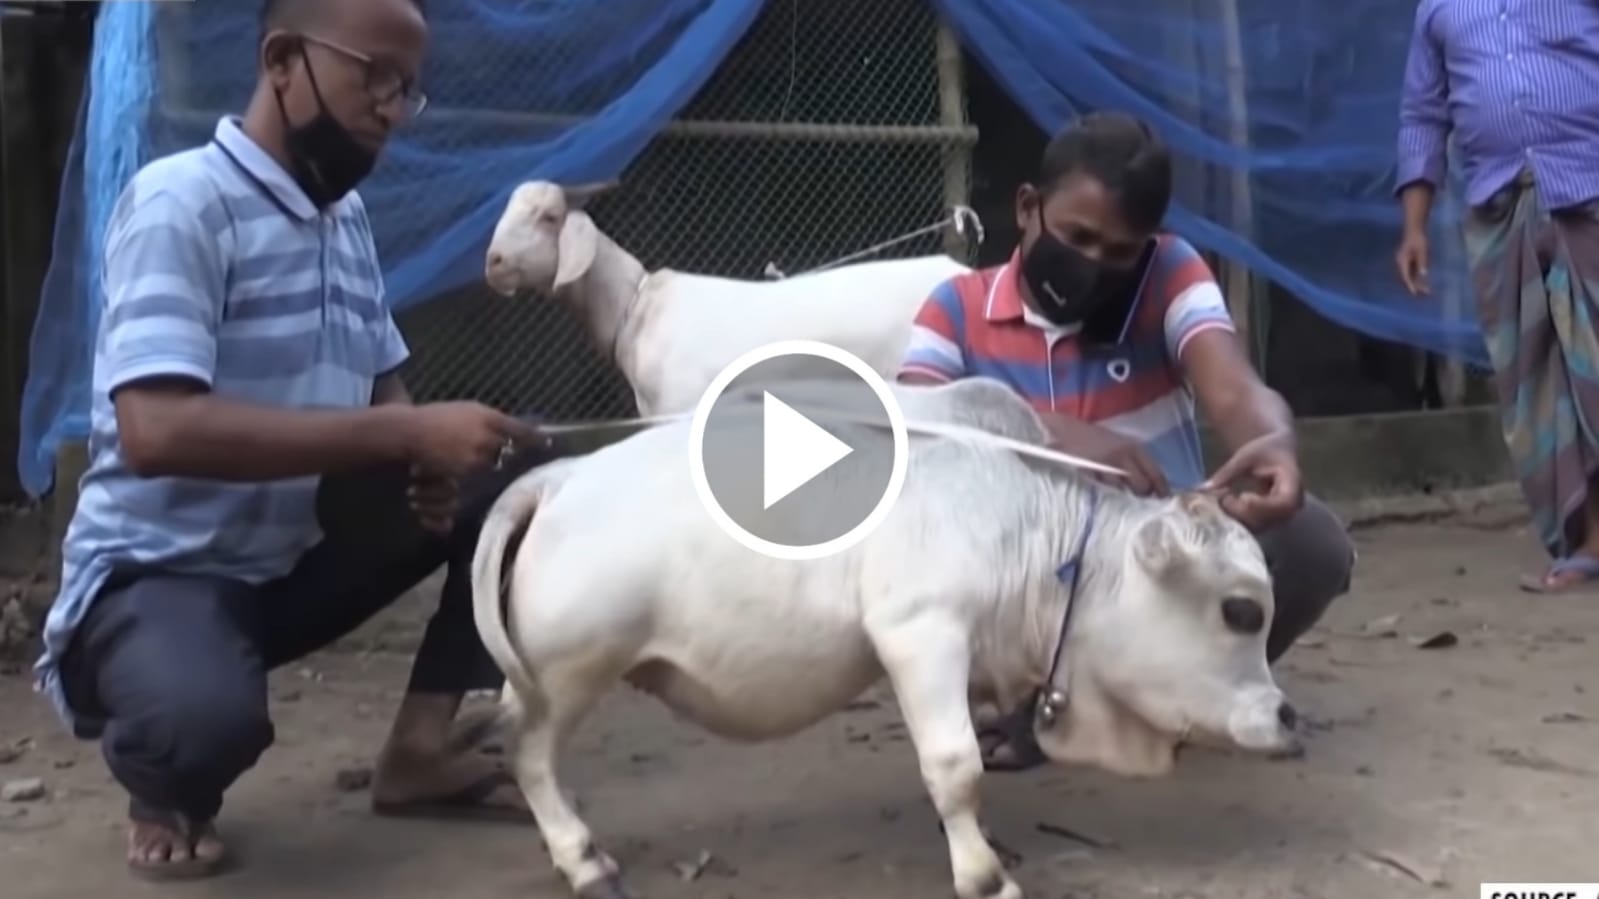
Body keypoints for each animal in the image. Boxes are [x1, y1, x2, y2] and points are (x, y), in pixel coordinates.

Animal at [469, 376, 1301, 899]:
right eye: (1239, 610)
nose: (1287, 717)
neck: (1031, 531)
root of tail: (559, 477)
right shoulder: (919, 632)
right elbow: (954, 765)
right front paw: (984, 874)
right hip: (570, 669)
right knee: (529, 752)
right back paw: (584, 859)